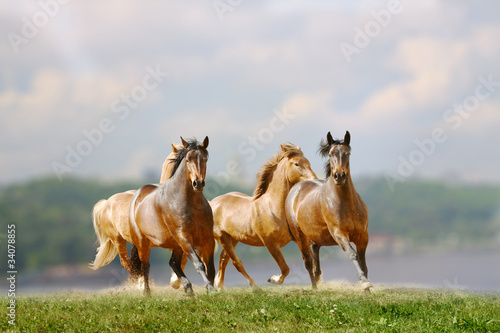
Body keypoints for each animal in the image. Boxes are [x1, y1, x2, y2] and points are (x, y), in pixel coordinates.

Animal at [128, 136, 214, 294]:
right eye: (188, 160)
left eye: (205, 159)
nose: (198, 183)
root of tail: (138, 194)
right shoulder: (184, 237)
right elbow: (199, 264)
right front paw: (210, 288)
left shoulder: (207, 238)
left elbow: (210, 267)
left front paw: (212, 289)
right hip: (143, 242)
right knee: (145, 265)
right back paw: (147, 293)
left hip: (176, 244)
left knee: (173, 263)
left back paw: (188, 289)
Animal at [211, 143, 316, 288]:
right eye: (296, 164)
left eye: (308, 162)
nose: (314, 180)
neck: (273, 208)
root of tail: (211, 203)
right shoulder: (271, 244)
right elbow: (285, 268)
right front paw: (273, 279)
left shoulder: (300, 239)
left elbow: (309, 262)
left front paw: (315, 286)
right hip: (222, 237)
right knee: (236, 262)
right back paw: (254, 286)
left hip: (233, 238)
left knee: (223, 259)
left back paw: (219, 287)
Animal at [286, 131, 372, 292]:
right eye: (331, 154)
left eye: (347, 153)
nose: (339, 176)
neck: (346, 204)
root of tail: (296, 188)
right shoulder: (339, 234)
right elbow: (353, 255)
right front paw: (364, 283)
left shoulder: (363, 236)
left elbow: (363, 263)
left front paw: (367, 288)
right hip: (300, 236)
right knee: (308, 261)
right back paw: (314, 287)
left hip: (317, 234)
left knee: (315, 250)